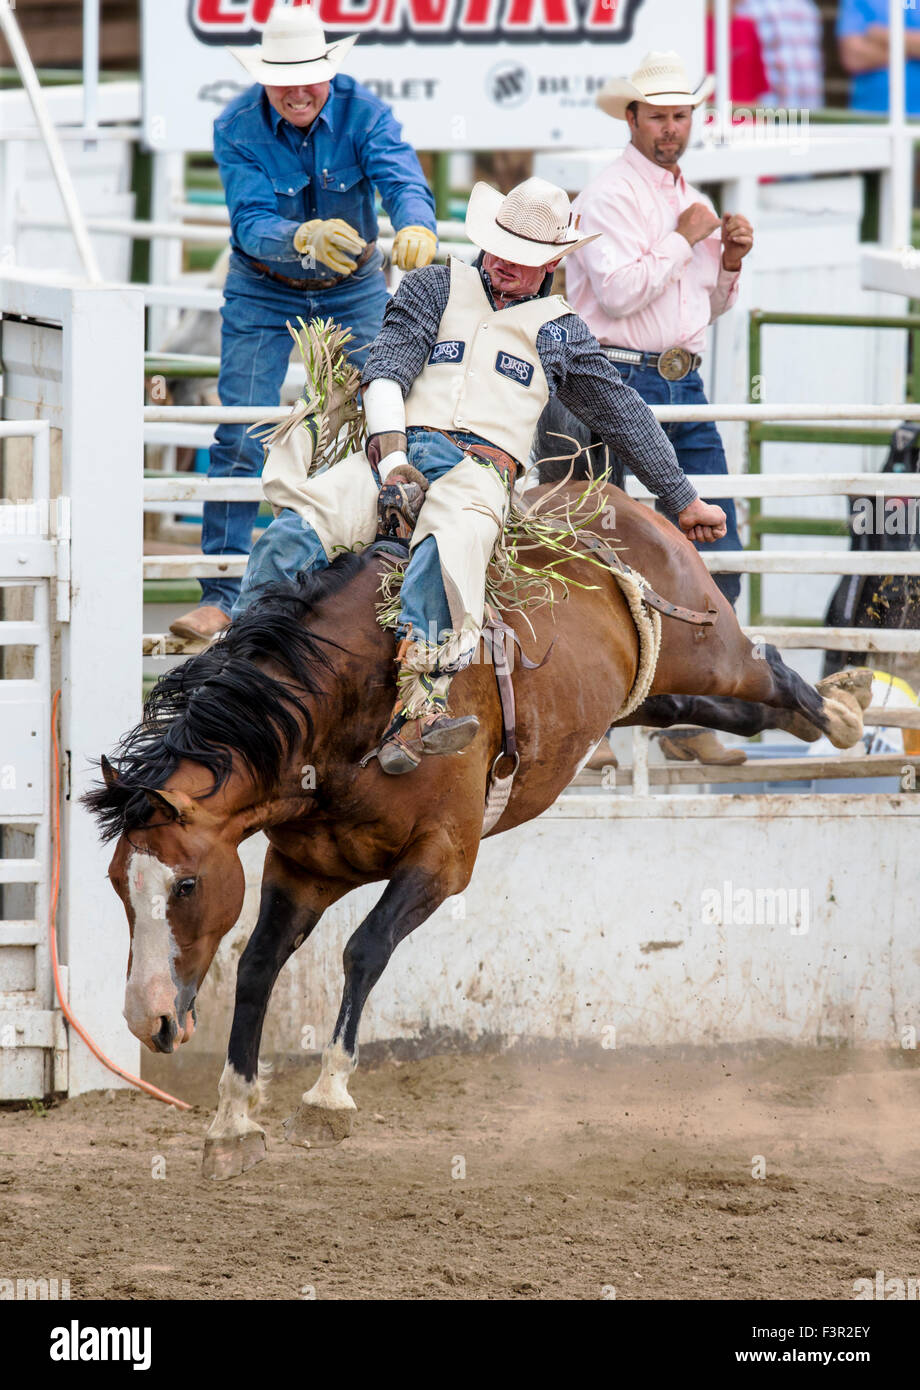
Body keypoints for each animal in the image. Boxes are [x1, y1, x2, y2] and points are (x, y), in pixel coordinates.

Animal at [83, 480, 868, 1180]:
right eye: (119, 885)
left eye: (186, 884)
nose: (147, 1019)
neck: (352, 715)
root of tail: (615, 496)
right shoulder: (303, 870)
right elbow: (256, 965)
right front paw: (233, 1123)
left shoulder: (442, 860)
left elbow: (364, 951)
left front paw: (327, 1098)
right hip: (637, 694)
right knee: (712, 708)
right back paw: (821, 717)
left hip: (708, 644)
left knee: (766, 667)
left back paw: (839, 713)